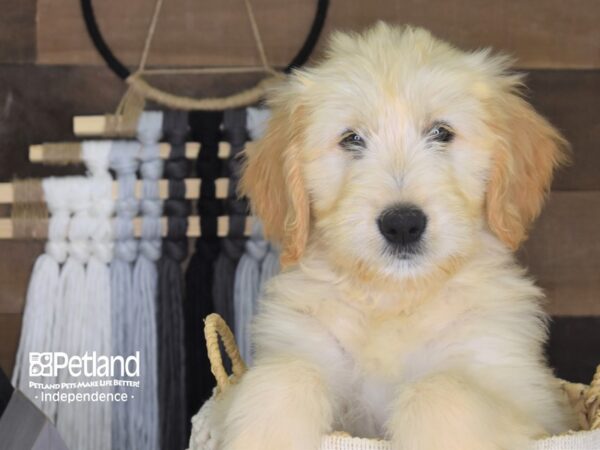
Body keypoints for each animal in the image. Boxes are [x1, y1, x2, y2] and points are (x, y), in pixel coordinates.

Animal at [211, 23, 576, 450]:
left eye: (441, 133)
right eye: (351, 138)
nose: (402, 224)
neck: (393, 298)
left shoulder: (529, 399)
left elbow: (437, 391)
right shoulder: (302, 342)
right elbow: (285, 375)